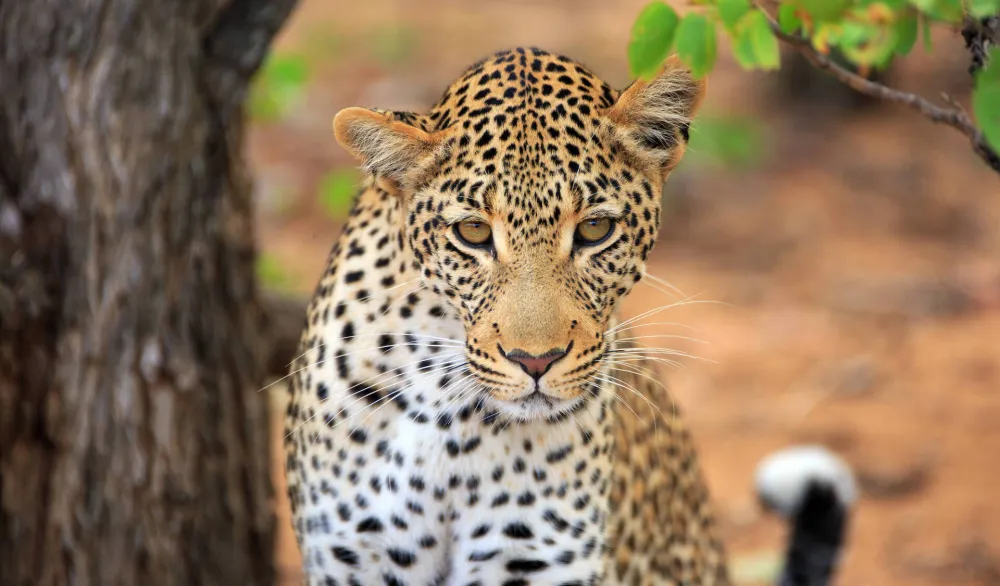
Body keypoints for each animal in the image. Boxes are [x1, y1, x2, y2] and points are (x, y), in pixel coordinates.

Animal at [284, 47, 857, 586]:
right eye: (472, 232)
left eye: (595, 229)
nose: (535, 362)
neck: (448, 422)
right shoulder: (354, 558)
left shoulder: (533, 560)